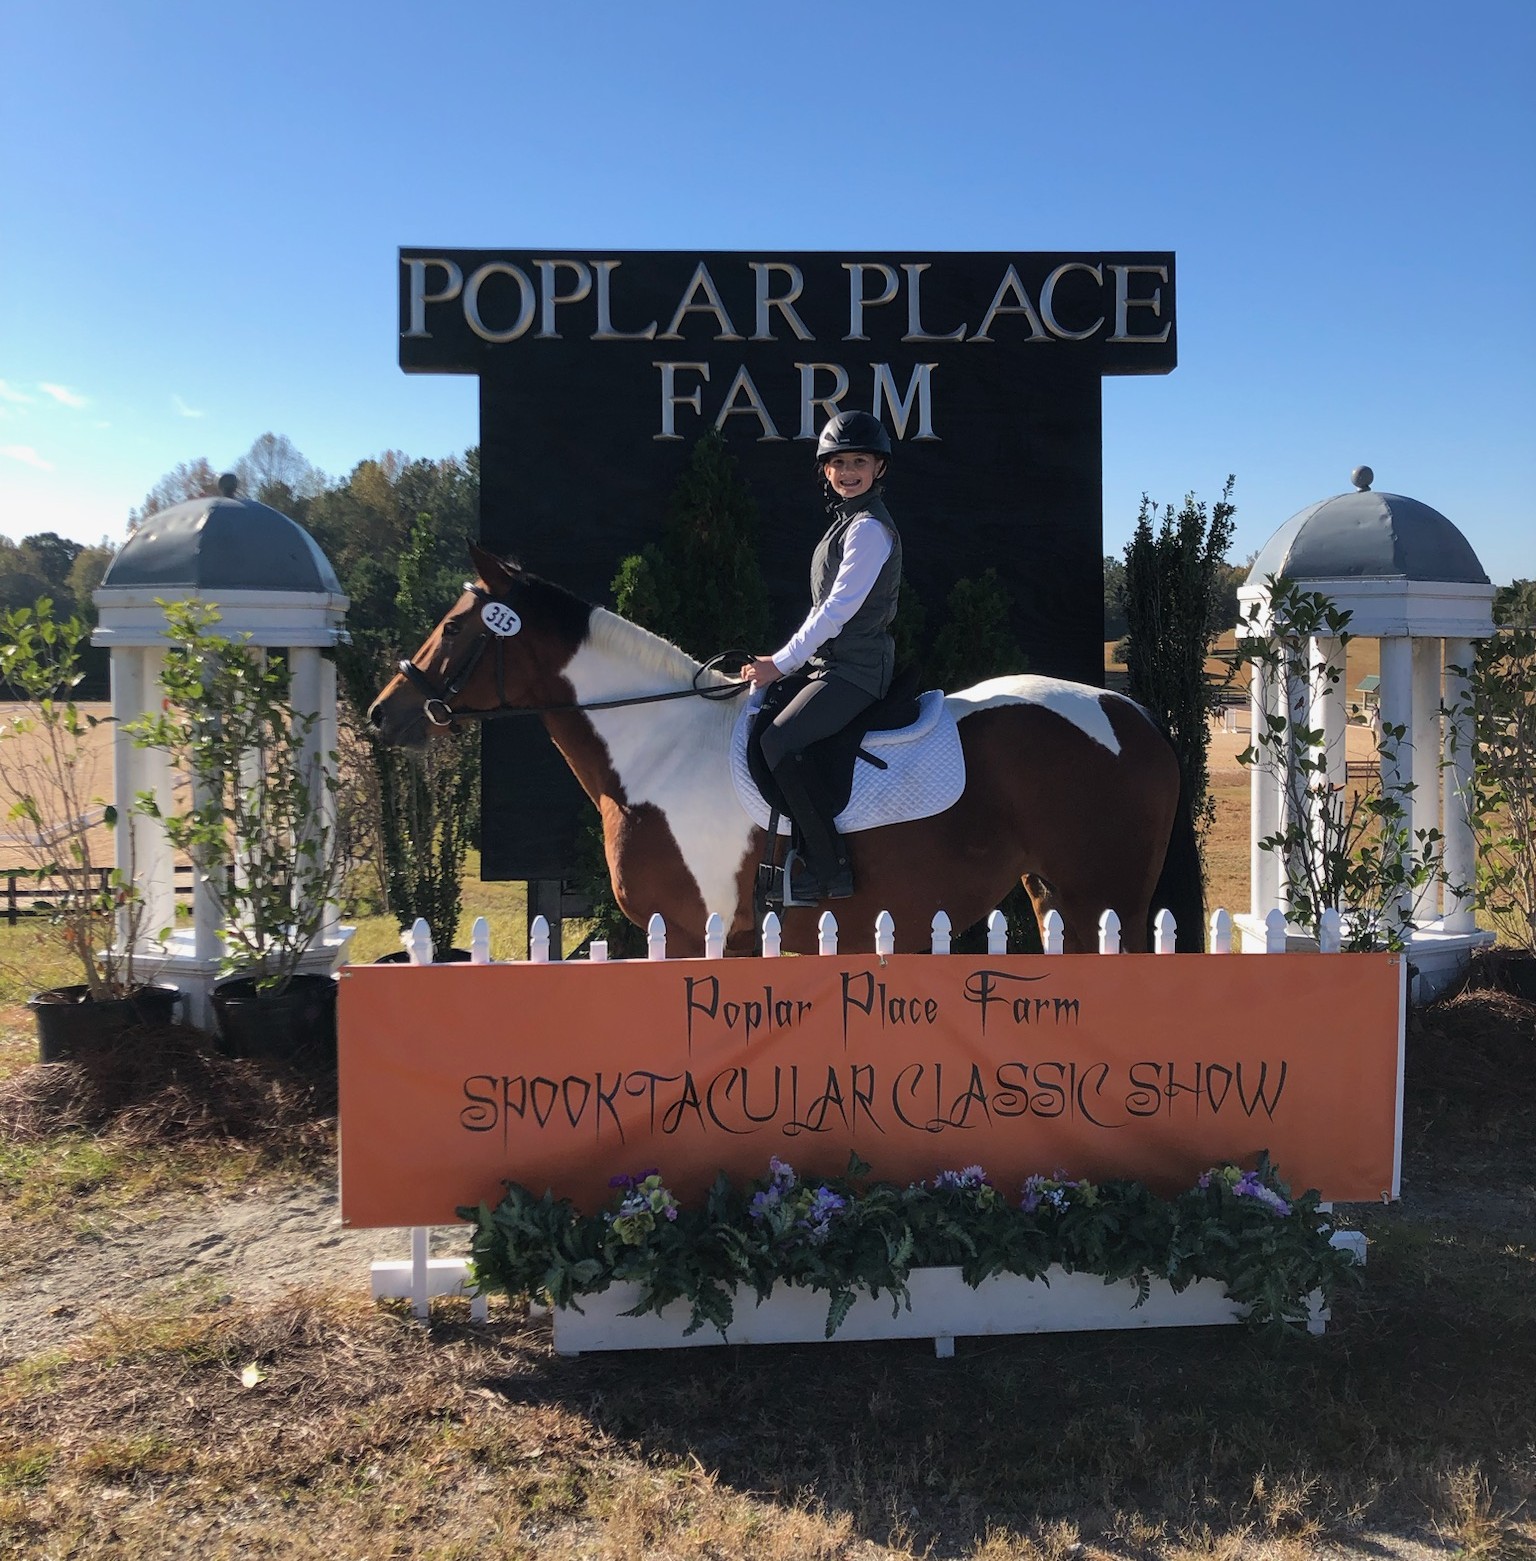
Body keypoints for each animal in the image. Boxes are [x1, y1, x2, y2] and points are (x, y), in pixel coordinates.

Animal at [368, 549, 1198, 961]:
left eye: (452, 627)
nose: (384, 713)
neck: (663, 745)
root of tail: (1130, 716)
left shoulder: (689, 933)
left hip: (1107, 900)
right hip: (1058, 896)